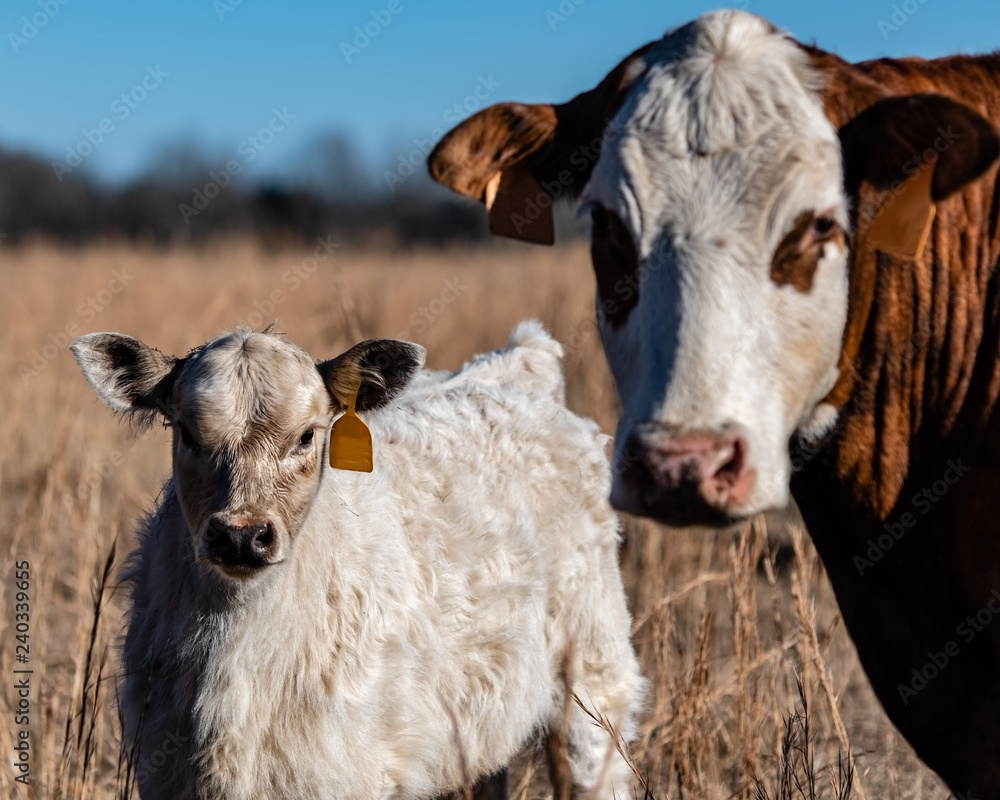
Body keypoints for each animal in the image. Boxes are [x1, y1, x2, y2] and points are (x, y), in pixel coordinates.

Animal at [70, 322, 643, 800]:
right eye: (186, 434)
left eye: (307, 436)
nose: (241, 536)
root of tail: (512, 363)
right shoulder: (165, 767)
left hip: (594, 683)